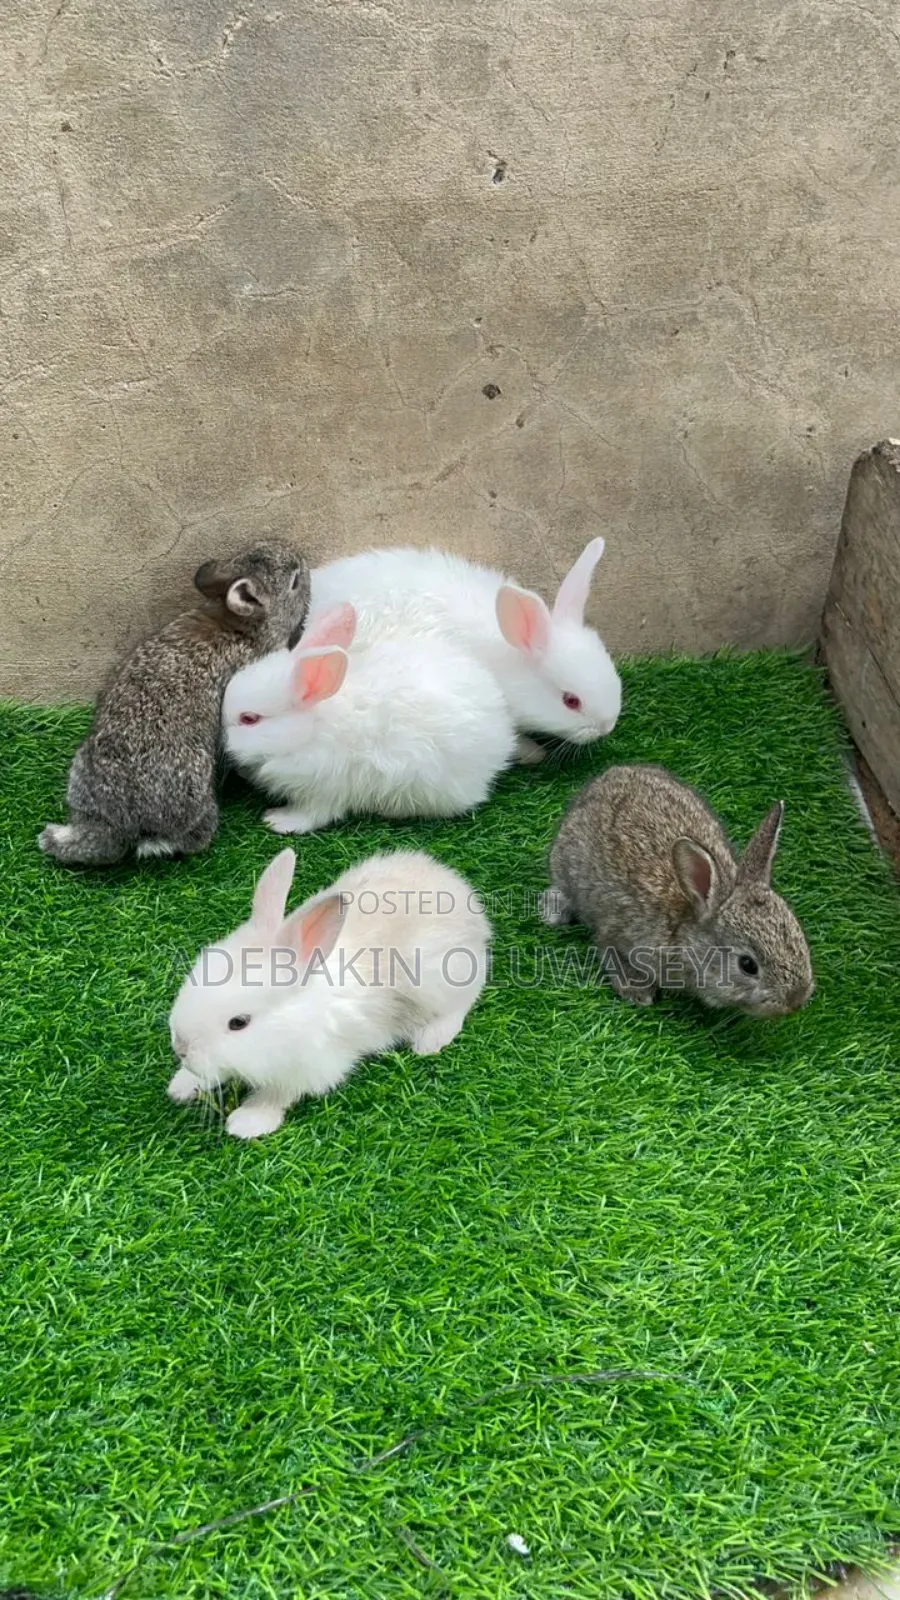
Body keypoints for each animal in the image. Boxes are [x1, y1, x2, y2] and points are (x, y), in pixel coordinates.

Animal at [167, 845, 492, 1138]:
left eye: (239, 1023)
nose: (180, 1047)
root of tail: (465, 897)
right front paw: (181, 1085)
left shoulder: (308, 1067)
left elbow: (276, 1095)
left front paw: (248, 1122)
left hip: (438, 978)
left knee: (465, 998)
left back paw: (430, 1039)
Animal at [222, 602, 519, 834]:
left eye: (249, 719)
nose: (223, 744)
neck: (310, 731)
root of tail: (502, 742)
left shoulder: (324, 786)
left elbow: (313, 815)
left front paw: (278, 821)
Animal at [539, 764, 814, 1017]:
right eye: (747, 965)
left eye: (799, 937)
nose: (795, 1000)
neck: (683, 932)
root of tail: (611, 774)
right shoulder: (617, 932)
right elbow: (608, 948)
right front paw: (637, 992)